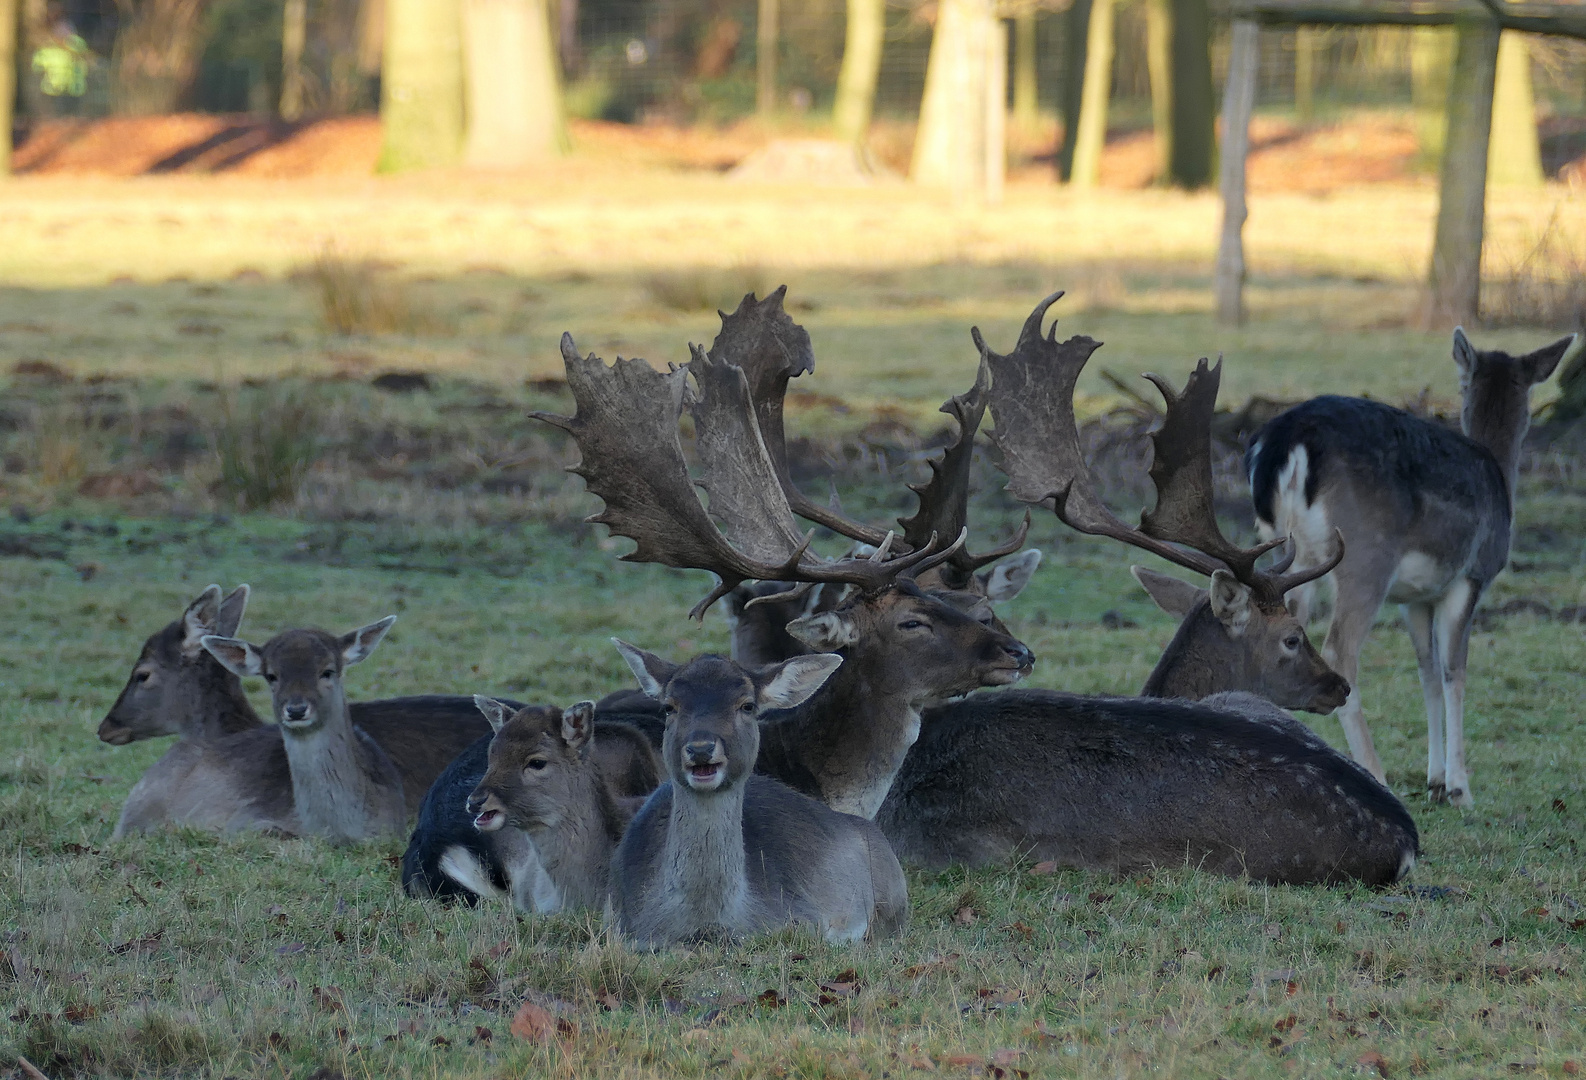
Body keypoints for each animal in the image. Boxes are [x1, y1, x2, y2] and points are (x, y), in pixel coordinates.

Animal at [1249, 333, 1573, 805]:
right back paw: (1376, 774)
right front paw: (1459, 787)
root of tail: (1288, 443)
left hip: (1283, 551)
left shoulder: (1414, 598)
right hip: (1365, 557)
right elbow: (1455, 670)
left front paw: (1435, 779)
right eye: (1533, 398)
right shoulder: (1471, 575)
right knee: (1340, 649)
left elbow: (1427, 672)